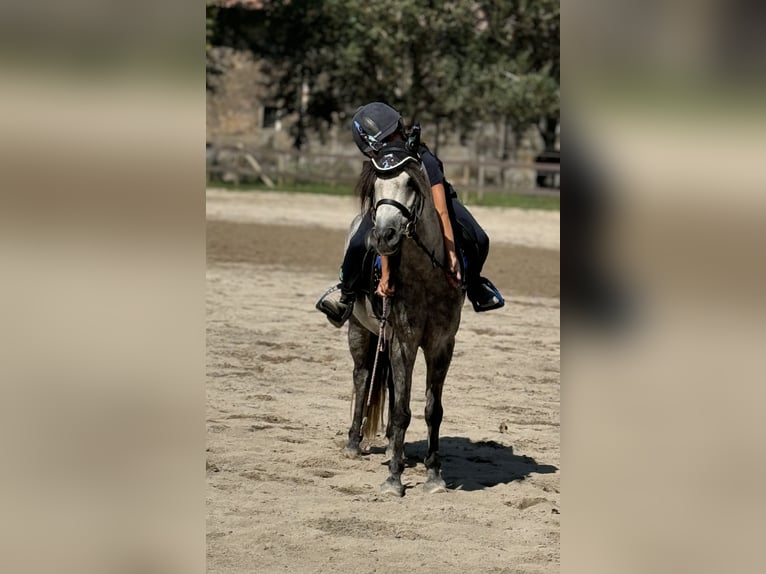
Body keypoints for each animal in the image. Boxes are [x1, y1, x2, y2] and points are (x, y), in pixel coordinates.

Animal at [344, 160, 464, 498]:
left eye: (411, 184)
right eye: (374, 187)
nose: (384, 235)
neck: (425, 278)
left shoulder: (441, 345)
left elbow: (432, 410)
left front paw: (434, 475)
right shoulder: (404, 342)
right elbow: (400, 411)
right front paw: (394, 478)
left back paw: (388, 446)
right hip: (359, 330)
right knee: (362, 378)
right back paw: (354, 442)